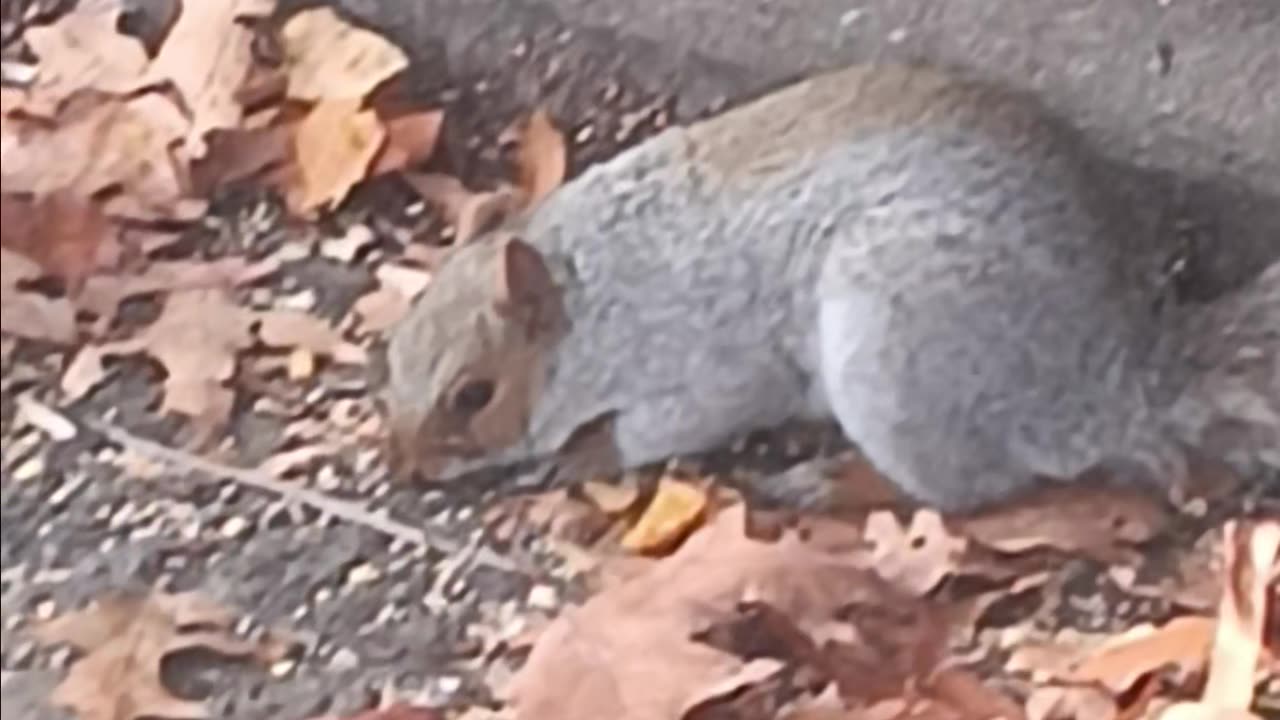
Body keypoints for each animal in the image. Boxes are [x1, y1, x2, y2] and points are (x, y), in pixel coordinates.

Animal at [383, 63, 1279, 511]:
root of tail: (1118, 378)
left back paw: (831, 484)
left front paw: (585, 454)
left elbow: (680, 420)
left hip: (894, 340)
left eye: (474, 394)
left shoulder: (708, 361)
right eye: (391, 351)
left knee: (970, 491)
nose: (405, 468)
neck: (594, 290)